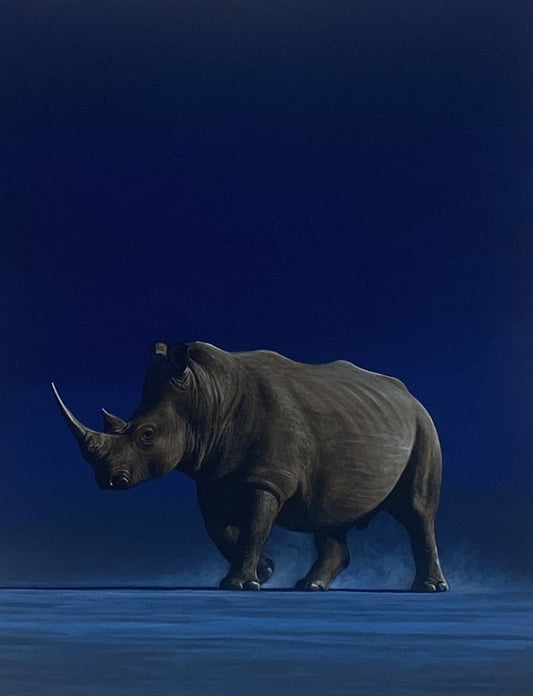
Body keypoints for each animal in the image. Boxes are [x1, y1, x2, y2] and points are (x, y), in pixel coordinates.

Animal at [53, 341, 449, 592]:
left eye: (147, 435)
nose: (106, 480)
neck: (206, 397)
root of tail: (409, 394)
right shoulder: (213, 477)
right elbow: (220, 530)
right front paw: (266, 571)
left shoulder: (267, 479)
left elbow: (255, 526)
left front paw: (242, 583)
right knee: (328, 513)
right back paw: (310, 586)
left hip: (423, 425)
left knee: (416, 510)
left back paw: (429, 588)